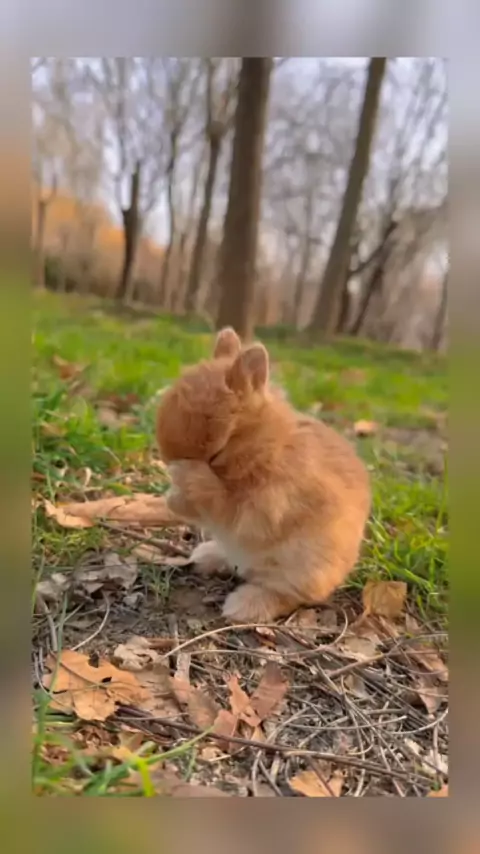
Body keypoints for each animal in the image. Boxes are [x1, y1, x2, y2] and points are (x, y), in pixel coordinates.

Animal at [156, 327, 371, 623]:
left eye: (217, 452)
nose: (171, 463)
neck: (267, 446)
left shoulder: (262, 505)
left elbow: (219, 500)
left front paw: (181, 481)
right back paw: (206, 556)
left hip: (302, 569)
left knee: (286, 595)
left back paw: (242, 606)